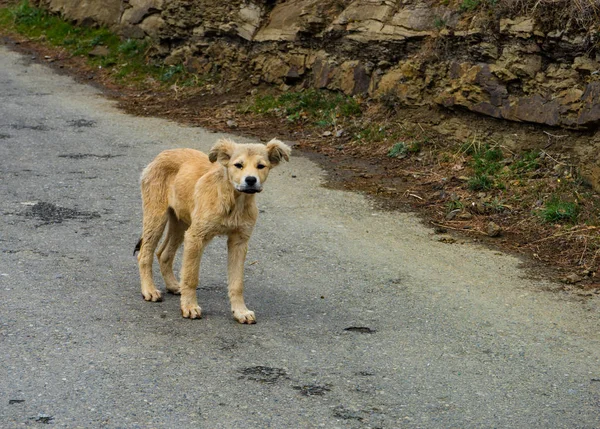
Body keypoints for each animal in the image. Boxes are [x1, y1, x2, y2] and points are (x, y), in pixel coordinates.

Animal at [137, 139, 296, 322]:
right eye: (238, 165)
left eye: (261, 166)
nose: (250, 180)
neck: (234, 201)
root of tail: (161, 155)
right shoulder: (196, 237)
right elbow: (191, 277)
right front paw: (189, 307)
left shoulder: (239, 242)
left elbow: (237, 283)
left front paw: (240, 311)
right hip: (157, 217)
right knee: (145, 254)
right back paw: (149, 290)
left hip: (181, 223)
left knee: (163, 254)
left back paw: (173, 285)